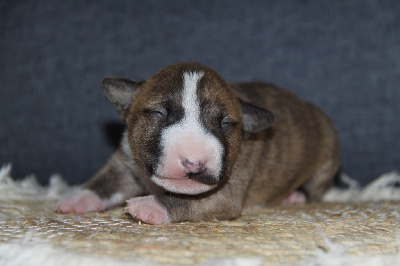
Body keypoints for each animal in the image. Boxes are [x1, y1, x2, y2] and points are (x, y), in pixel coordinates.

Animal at [54, 62, 340, 224]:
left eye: (226, 123)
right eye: (159, 113)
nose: (194, 163)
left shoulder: (226, 192)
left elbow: (188, 201)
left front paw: (150, 205)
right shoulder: (126, 162)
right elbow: (105, 182)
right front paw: (77, 199)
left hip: (328, 155)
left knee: (315, 187)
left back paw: (295, 196)